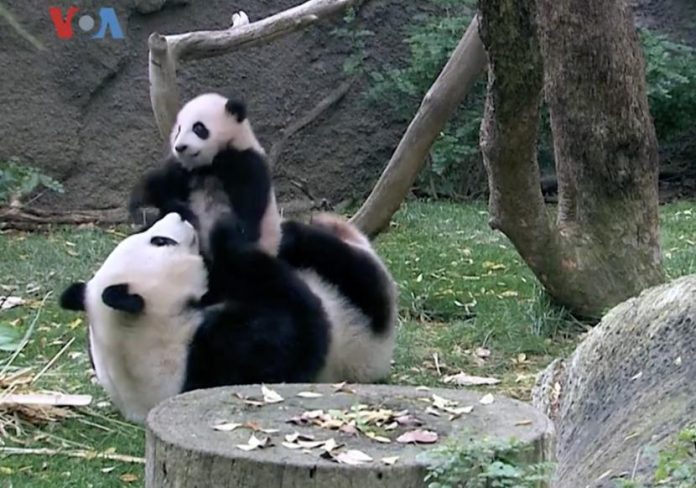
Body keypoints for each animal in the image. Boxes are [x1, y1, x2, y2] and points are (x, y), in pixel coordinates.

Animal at [129, 93, 281, 260]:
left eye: (198, 128)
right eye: (179, 130)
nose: (180, 147)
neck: (209, 165)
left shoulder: (246, 162)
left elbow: (249, 208)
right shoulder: (183, 170)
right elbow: (159, 185)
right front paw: (147, 209)